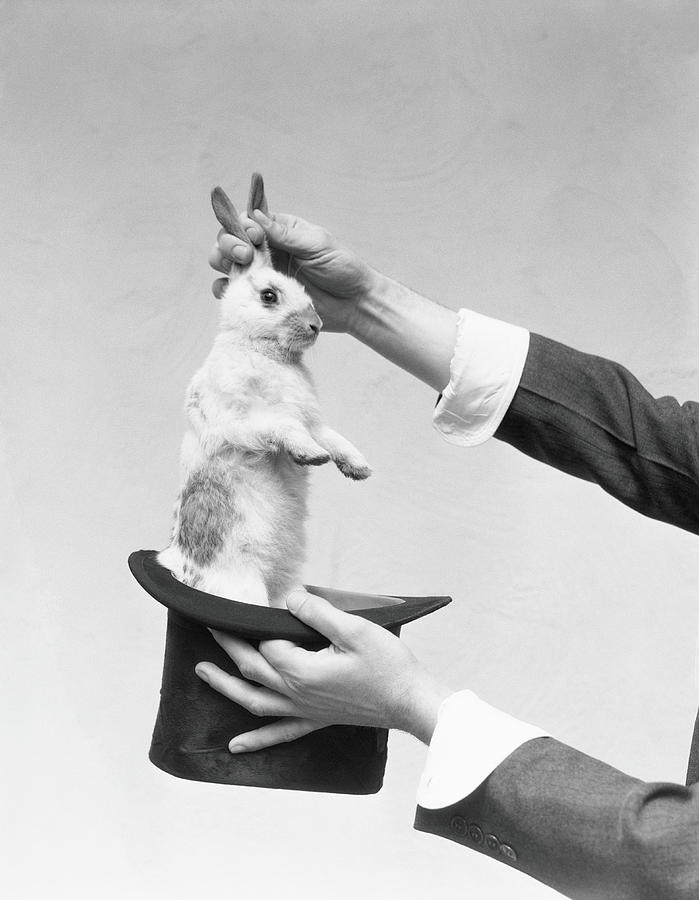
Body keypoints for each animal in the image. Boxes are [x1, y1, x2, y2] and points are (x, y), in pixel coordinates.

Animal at [159, 172, 374, 608]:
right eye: (269, 296)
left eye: (308, 295)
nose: (316, 325)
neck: (265, 352)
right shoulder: (242, 422)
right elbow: (282, 428)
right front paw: (311, 456)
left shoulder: (314, 420)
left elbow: (335, 438)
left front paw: (358, 468)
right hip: (245, 585)